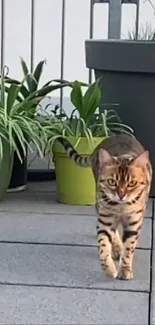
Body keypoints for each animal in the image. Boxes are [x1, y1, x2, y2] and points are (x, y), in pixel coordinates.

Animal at [57, 134, 153, 278]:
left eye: (132, 183)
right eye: (112, 182)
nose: (121, 195)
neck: (121, 207)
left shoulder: (134, 222)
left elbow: (129, 247)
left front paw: (125, 269)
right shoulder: (105, 219)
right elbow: (103, 245)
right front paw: (109, 269)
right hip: (99, 202)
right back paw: (116, 248)